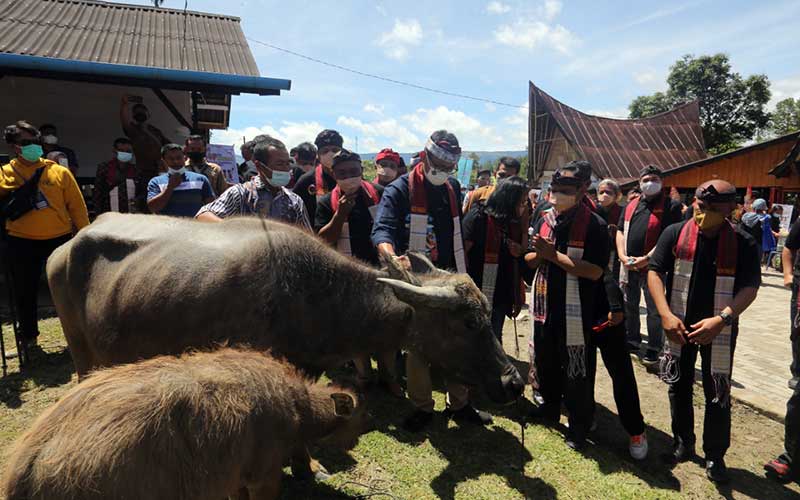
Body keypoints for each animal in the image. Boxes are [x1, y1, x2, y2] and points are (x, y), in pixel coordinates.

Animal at [0, 348, 366, 500]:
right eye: (361, 420)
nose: (356, 443)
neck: (298, 409)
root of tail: (26, 469)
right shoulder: (264, 475)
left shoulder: (233, 476)